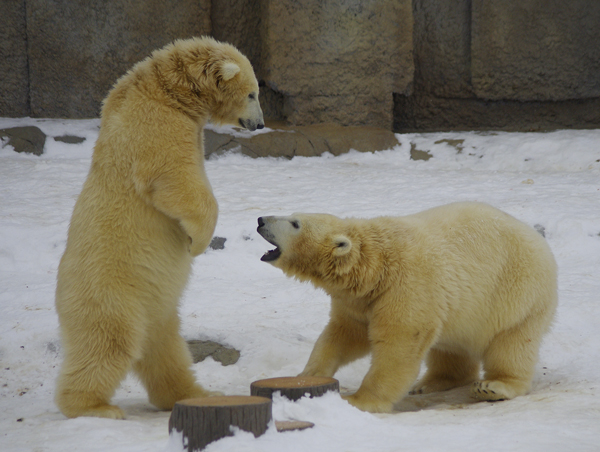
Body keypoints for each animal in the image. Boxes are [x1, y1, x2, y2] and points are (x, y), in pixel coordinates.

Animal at [256, 203, 556, 414]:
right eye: (292, 215)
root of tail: (539, 239)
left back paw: (493, 387)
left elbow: (399, 343)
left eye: (295, 223)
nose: (261, 219)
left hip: (517, 292)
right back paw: (429, 384)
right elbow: (344, 335)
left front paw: (358, 400)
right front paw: (305, 375)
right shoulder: (358, 300)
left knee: (512, 343)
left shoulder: (406, 286)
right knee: (449, 346)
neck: (376, 265)